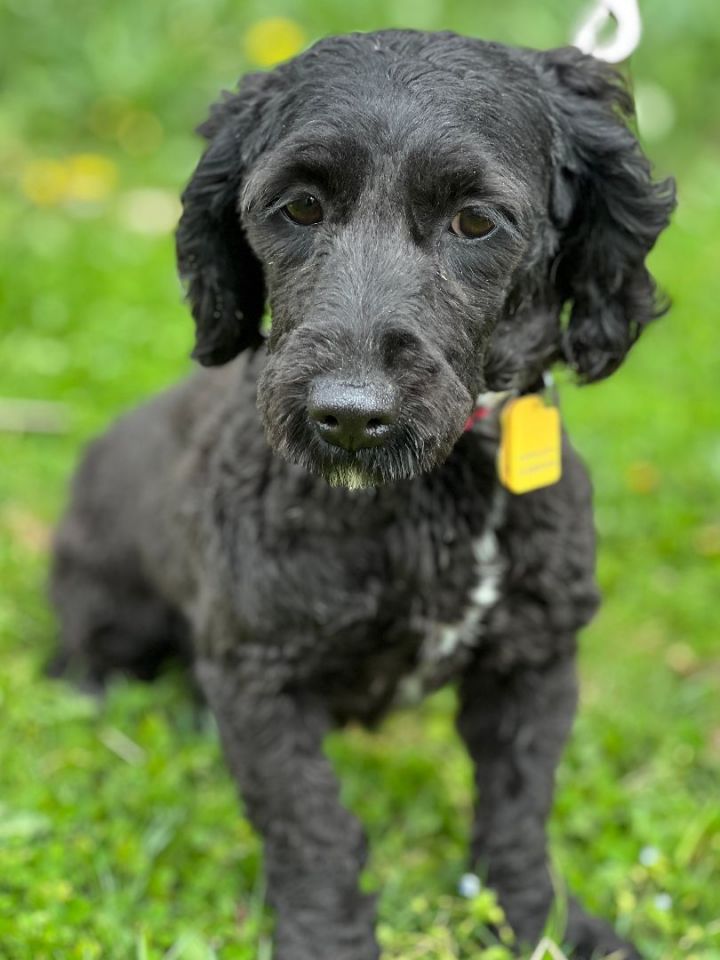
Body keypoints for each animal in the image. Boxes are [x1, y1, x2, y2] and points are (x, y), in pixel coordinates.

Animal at [50, 30, 676, 960]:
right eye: (299, 208)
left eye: (475, 220)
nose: (347, 416)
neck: (427, 501)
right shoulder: (259, 672)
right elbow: (312, 825)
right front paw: (328, 938)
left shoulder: (534, 660)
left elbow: (518, 814)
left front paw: (543, 925)